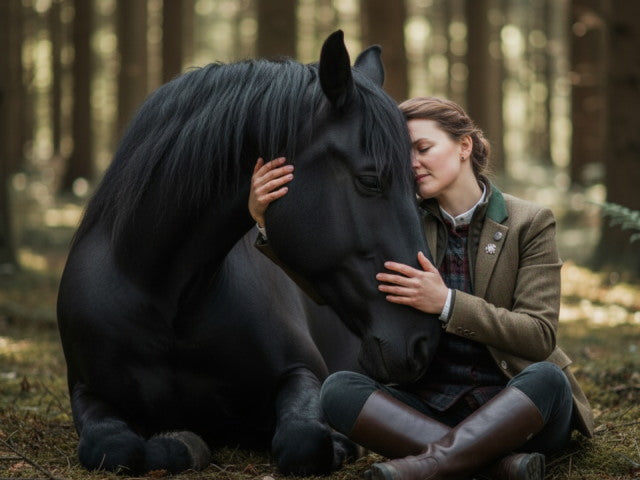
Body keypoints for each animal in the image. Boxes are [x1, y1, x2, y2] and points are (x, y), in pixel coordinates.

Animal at [56, 30, 442, 476]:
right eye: (370, 181)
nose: (424, 340)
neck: (162, 294)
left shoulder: (302, 370)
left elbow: (304, 439)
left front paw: (342, 444)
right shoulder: (86, 390)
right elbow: (113, 447)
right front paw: (184, 442)